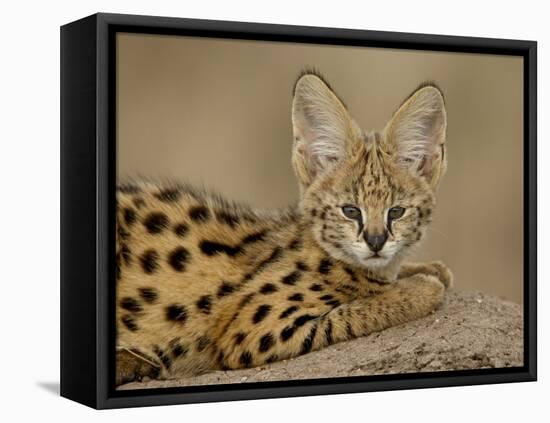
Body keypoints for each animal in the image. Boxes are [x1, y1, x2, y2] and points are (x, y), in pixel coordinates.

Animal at [115, 71, 452, 386]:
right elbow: (355, 311)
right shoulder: (253, 330)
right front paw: (420, 287)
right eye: (350, 211)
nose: (376, 241)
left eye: (396, 212)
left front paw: (428, 269)